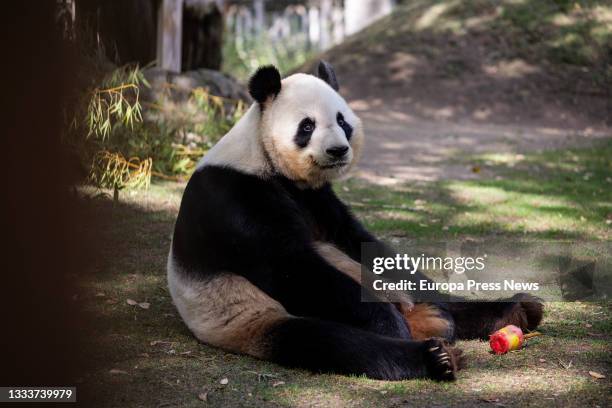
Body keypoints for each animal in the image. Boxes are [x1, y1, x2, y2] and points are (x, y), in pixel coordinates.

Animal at [165, 62, 544, 380]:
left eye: (342, 121)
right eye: (307, 126)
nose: (337, 150)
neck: (263, 159)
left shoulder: (317, 199)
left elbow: (359, 241)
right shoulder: (237, 196)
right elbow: (290, 265)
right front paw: (391, 326)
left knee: (431, 296)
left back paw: (514, 310)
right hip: (247, 316)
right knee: (327, 341)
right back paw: (434, 356)